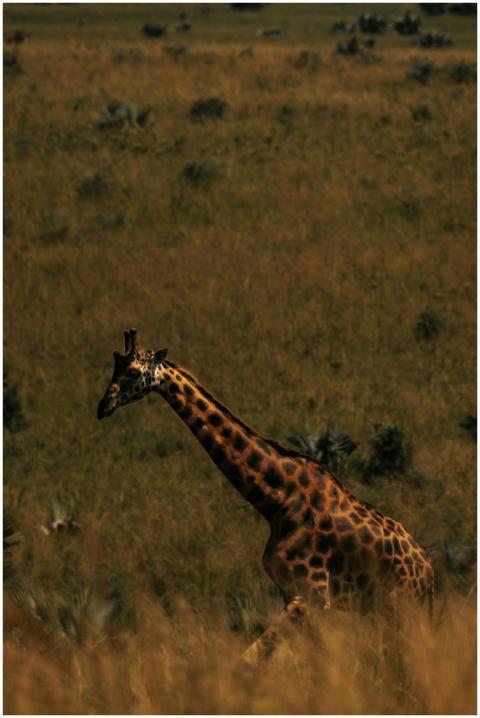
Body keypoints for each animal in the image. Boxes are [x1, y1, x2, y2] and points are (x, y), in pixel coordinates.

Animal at [97, 329, 435, 666]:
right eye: (114, 365)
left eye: (133, 371)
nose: (103, 405)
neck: (277, 502)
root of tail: (429, 571)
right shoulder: (294, 594)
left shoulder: (311, 596)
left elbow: (250, 659)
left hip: (404, 605)